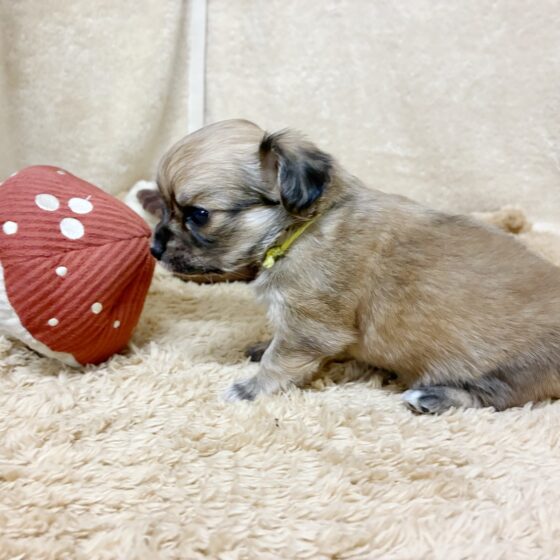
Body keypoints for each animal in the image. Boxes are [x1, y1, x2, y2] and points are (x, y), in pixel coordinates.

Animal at [151, 118, 560, 413]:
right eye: (162, 206)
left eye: (198, 215)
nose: (154, 247)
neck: (298, 230)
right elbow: (278, 344)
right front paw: (262, 345)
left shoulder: (310, 328)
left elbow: (279, 361)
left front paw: (251, 387)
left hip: (508, 369)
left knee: (496, 398)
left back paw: (432, 397)